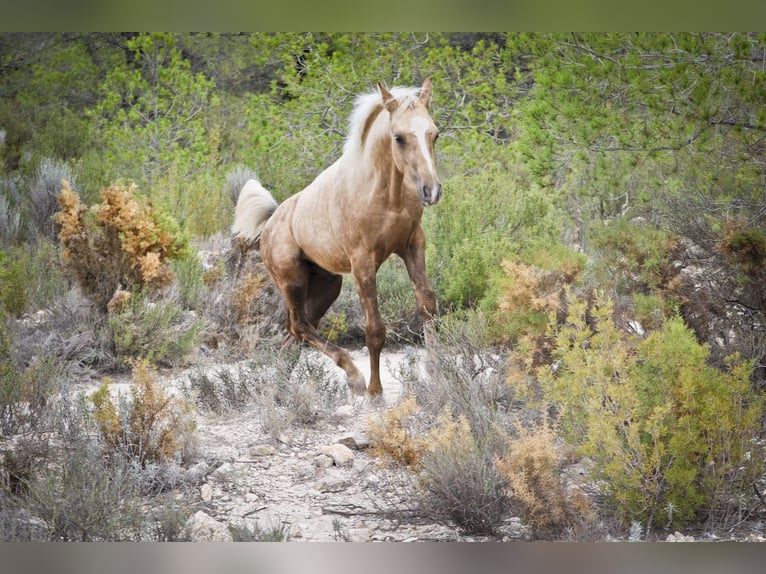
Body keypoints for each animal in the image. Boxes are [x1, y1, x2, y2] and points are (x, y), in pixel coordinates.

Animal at [231, 77, 440, 396]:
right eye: (399, 138)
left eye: (434, 134)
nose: (431, 191)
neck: (386, 196)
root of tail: (271, 222)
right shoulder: (363, 263)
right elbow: (375, 329)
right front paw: (375, 392)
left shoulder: (412, 245)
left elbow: (427, 305)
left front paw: (437, 370)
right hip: (293, 282)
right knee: (299, 327)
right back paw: (354, 377)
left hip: (327, 287)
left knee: (295, 336)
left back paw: (281, 387)